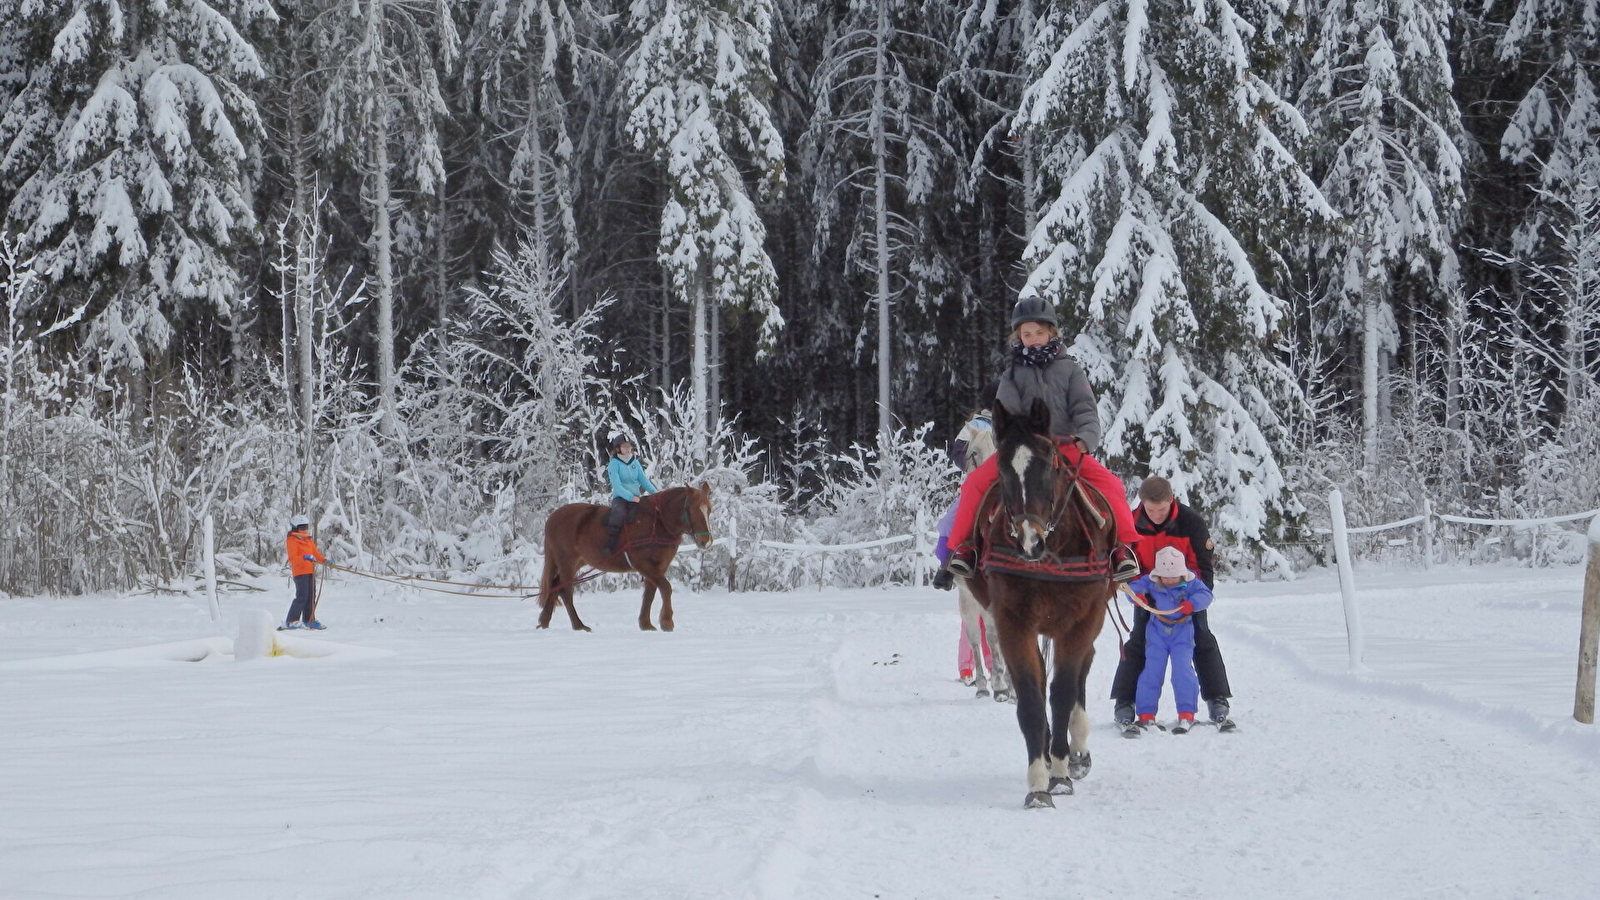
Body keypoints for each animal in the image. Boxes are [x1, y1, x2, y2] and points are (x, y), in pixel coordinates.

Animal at [537, 483, 713, 630]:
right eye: (692, 510)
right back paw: (578, 625)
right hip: (566, 561)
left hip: (576, 562)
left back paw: (544, 621)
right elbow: (665, 588)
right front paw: (666, 621)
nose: (706, 541)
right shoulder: (643, 564)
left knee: (555, 585)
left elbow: (650, 593)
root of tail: (552, 518)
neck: (657, 523)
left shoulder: (658, 567)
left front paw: (646, 624)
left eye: (709, 510)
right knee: (565, 590)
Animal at [953, 398, 1120, 807]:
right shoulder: (1013, 622)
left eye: (1049, 464)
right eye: (1001, 468)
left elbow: (1062, 692)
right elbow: (1031, 695)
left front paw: (1060, 771)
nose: (1030, 540)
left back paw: (1076, 749)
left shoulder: (1081, 623)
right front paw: (1038, 782)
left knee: (1077, 677)